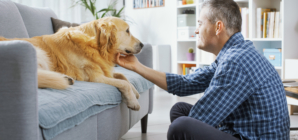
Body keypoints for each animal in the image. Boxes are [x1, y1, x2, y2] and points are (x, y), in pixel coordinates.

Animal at [0, 16, 143, 110]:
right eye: (127, 31)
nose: (142, 45)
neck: (95, 46)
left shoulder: (106, 71)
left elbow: (123, 77)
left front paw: (135, 92)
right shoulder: (95, 77)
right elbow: (124, 83)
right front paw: (133, 101)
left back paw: (66, 79)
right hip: (39, 53)